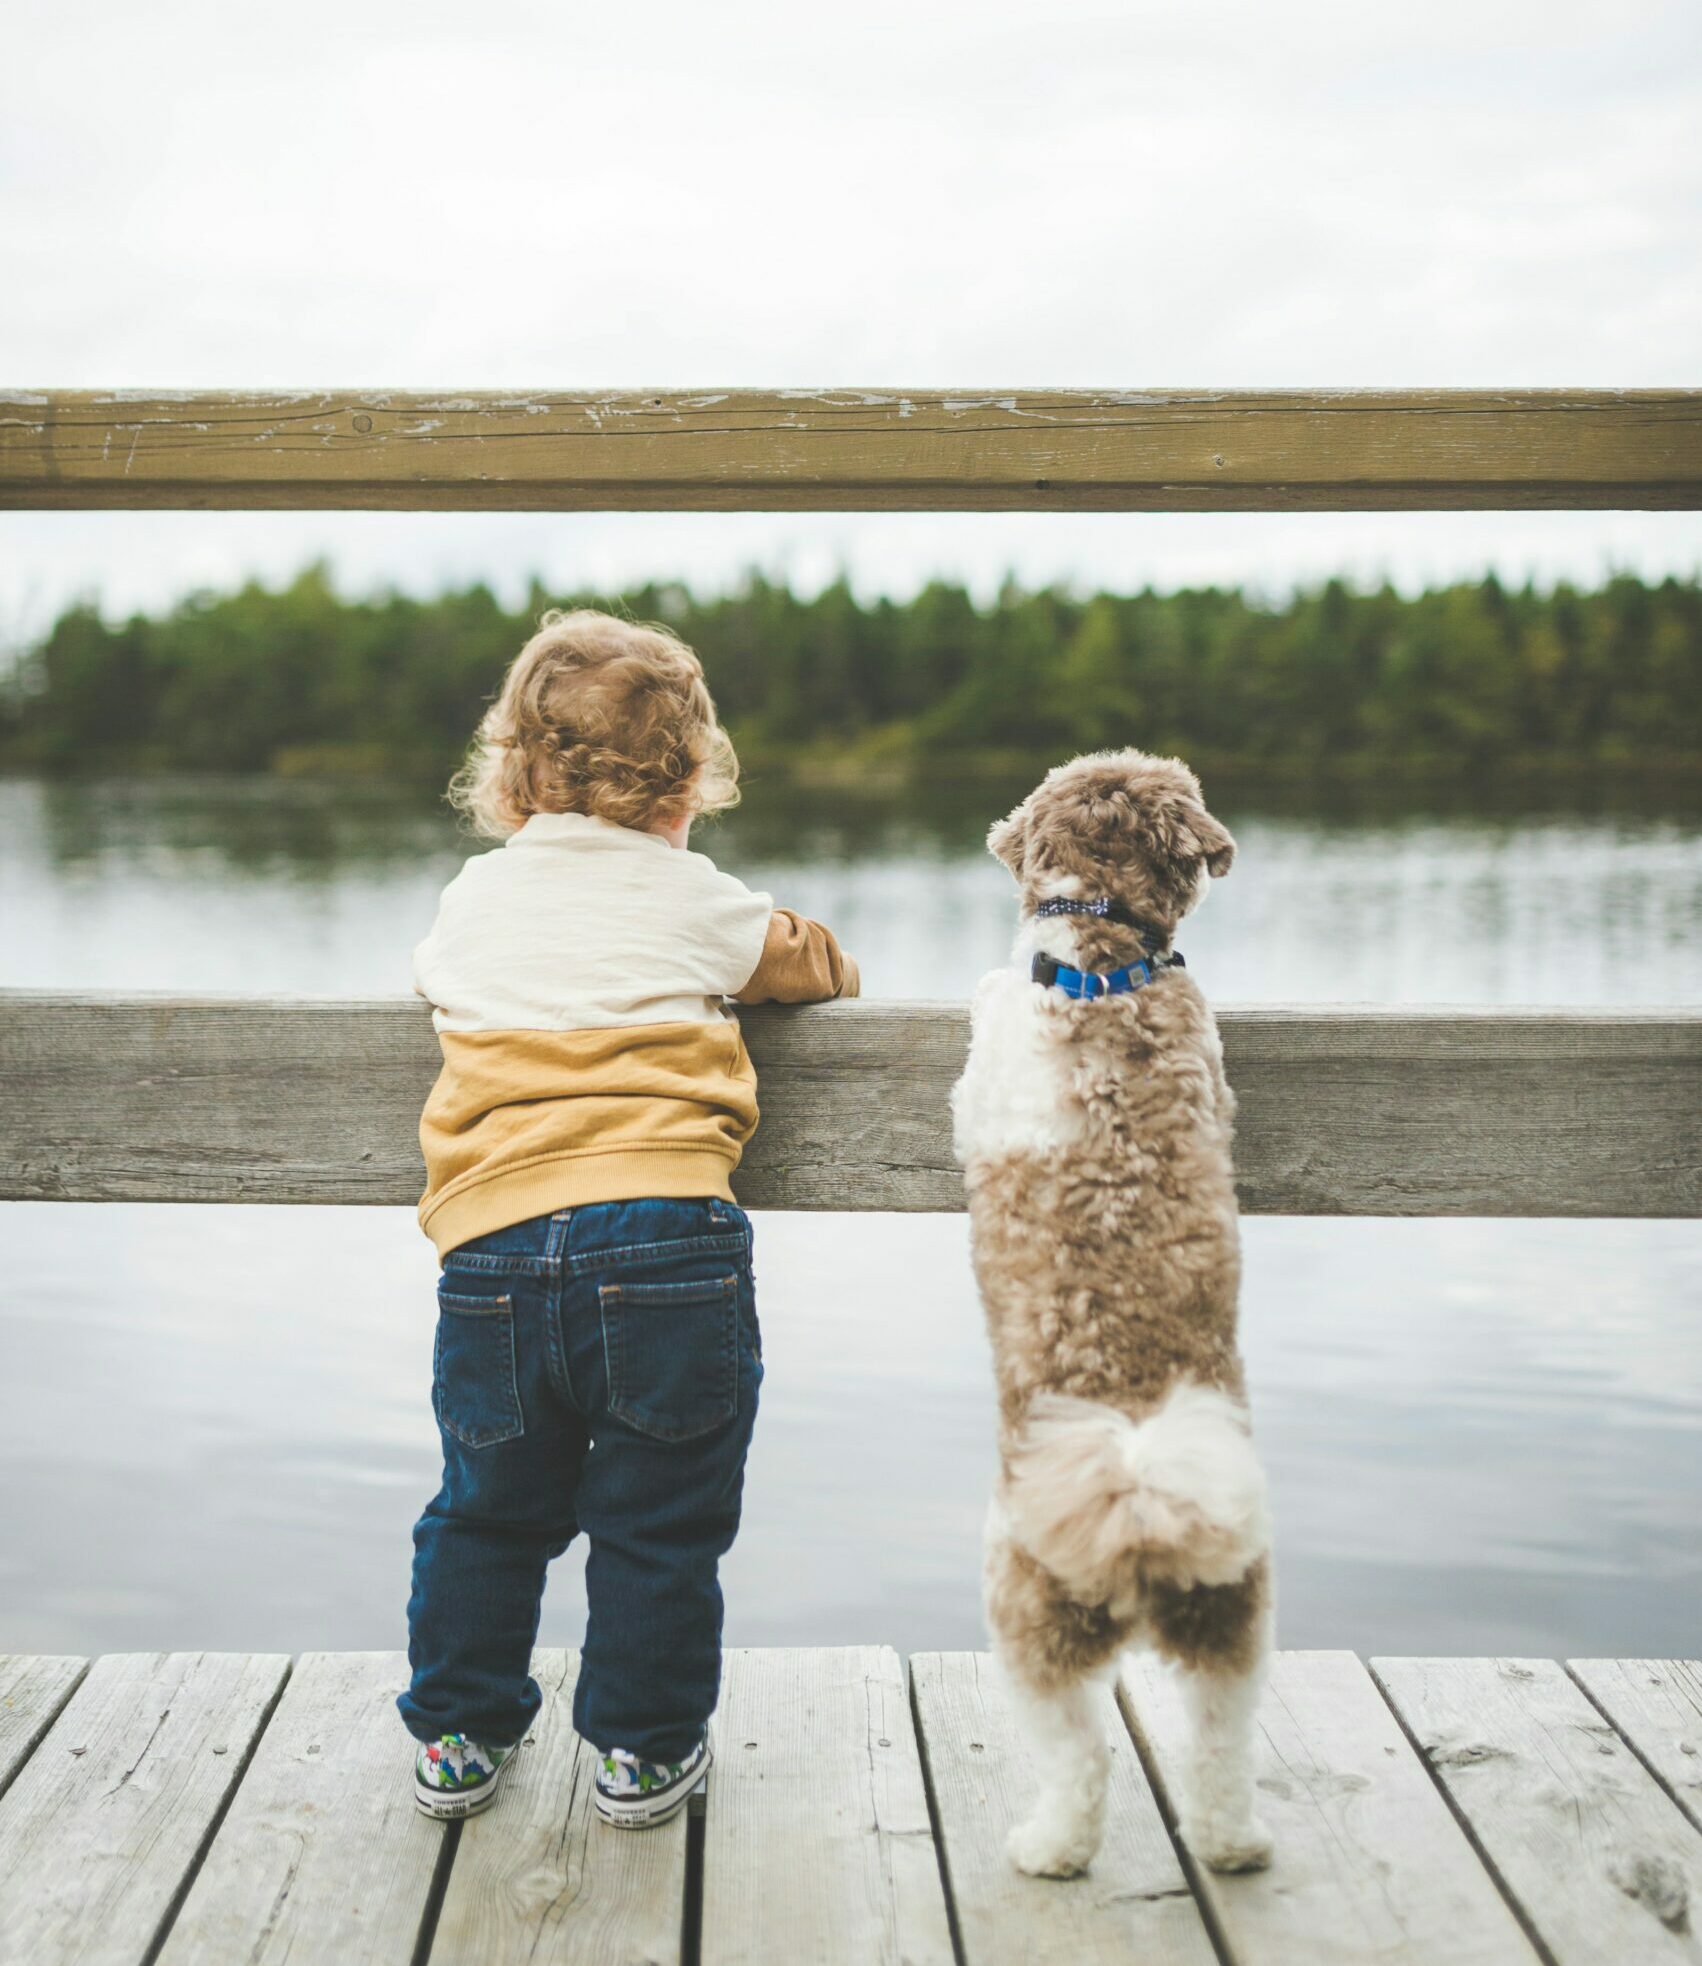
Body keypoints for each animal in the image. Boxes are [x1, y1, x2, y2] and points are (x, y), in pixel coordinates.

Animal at [947, 747, 1265, 1871]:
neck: (1106, 958)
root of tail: (1139, 1516)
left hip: (1026, 1615)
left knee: (1078, 1755)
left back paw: (1047, 1847)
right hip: (1228, 1619)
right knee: (1220, 1742)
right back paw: (1232, 1842)